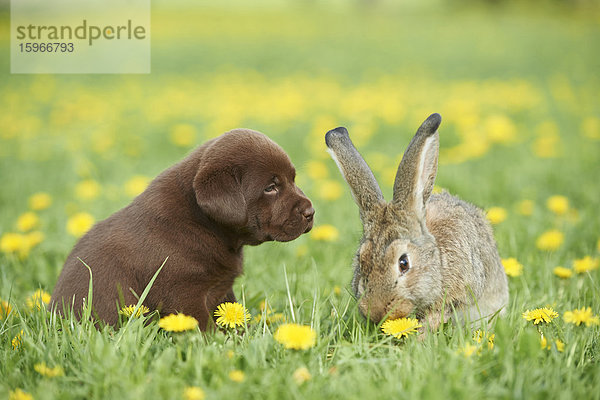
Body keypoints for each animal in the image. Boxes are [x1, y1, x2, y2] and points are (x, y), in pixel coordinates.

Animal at [50, 130, 314, 330]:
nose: (311, 212)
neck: (202, 224)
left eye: (293, 179)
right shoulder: (183, 295)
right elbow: (203, 328)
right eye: (270, 187)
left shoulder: (221, 289)